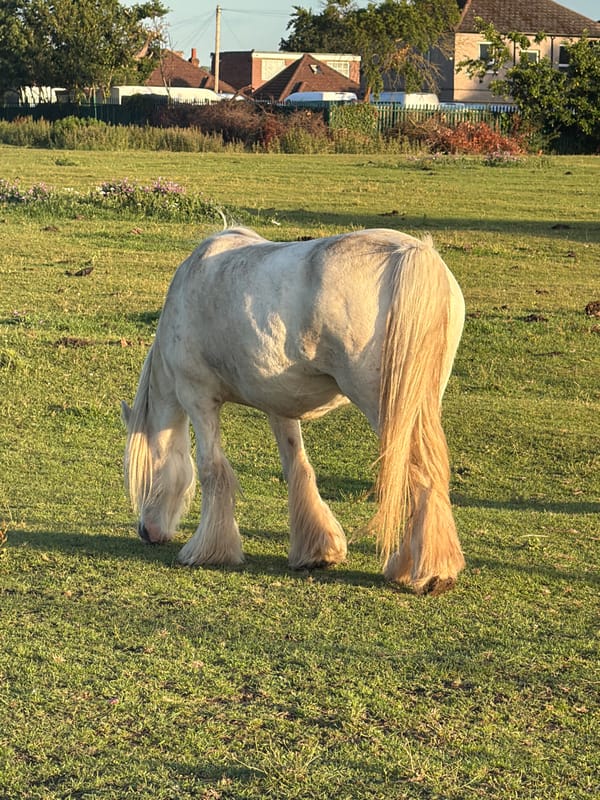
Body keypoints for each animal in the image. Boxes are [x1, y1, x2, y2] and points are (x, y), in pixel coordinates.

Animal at [122, 226, 465, 595]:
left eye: (145, 474)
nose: (147, 532)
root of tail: (414, 253)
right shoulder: (280, 406)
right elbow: (298, 468)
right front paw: (318, 550)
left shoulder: (198, 398)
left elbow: (212, 469)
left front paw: (208, 550)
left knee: (422, 477)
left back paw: (429, 572)